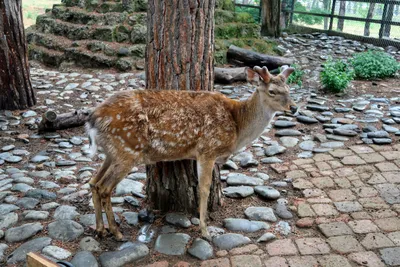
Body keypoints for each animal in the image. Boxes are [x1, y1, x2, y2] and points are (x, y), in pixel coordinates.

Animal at [86, 65, 296, 241]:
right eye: (272, 91)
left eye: (288, 90)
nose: (293, 107)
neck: (238, 126)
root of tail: (92, 120)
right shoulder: (208, 149)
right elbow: (204, 188)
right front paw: (205, 231)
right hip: (127, 150)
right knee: (104, 187)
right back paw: (116, 232)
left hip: (112, 152)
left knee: (93, 182)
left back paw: (100, 229)